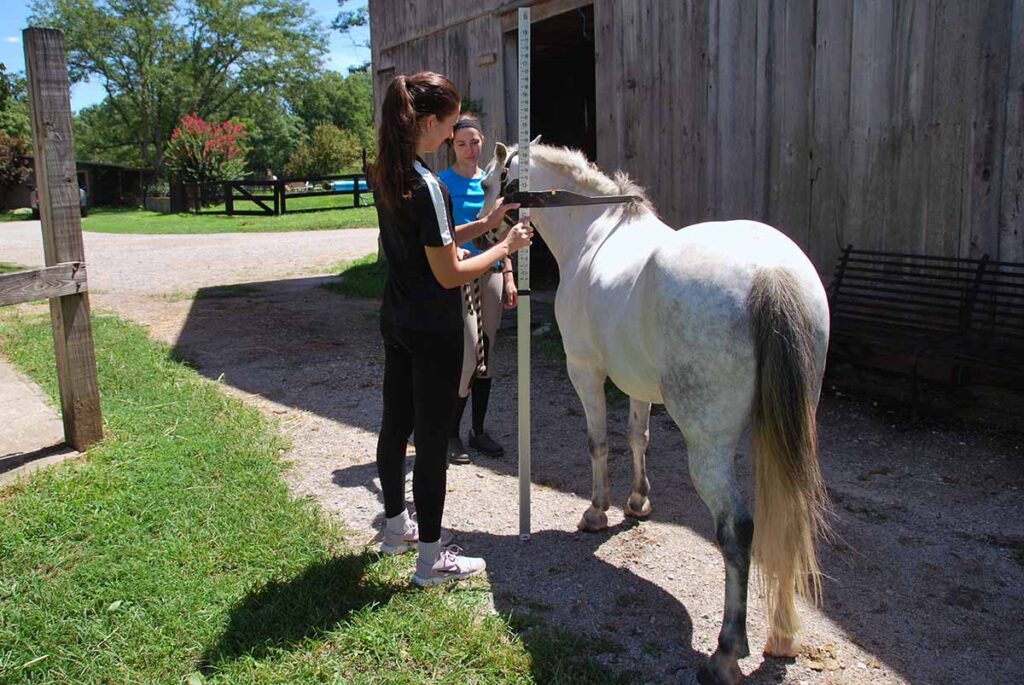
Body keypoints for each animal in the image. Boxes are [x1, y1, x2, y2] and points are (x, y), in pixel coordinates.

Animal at [477, 142, 831, 685]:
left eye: (490, 182)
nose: (481, 232)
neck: (593, 232)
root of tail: (771, 273)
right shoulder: (635, 383)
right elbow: (637, 438)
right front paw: (638, 502)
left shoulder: (586, 371)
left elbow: (599, 442)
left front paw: (597, 511)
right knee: (787, 519)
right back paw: (782, 636)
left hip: (708, 446)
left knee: (737, 530)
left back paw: (726, 652)